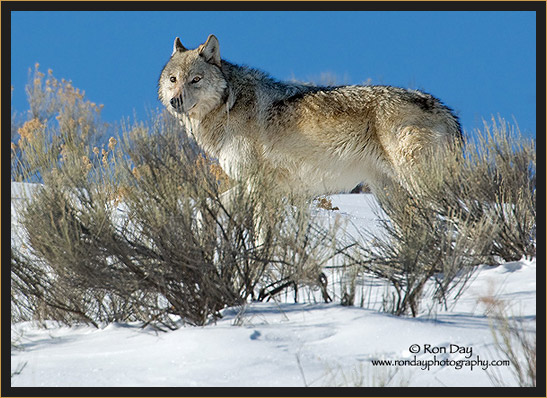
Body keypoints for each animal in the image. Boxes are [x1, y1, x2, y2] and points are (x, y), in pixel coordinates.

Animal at [157, 34, 462, 197]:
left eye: (196, 79)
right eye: (173, 79)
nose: (175, 101)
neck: (229, 104)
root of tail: (444, 109)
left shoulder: (259, 186)